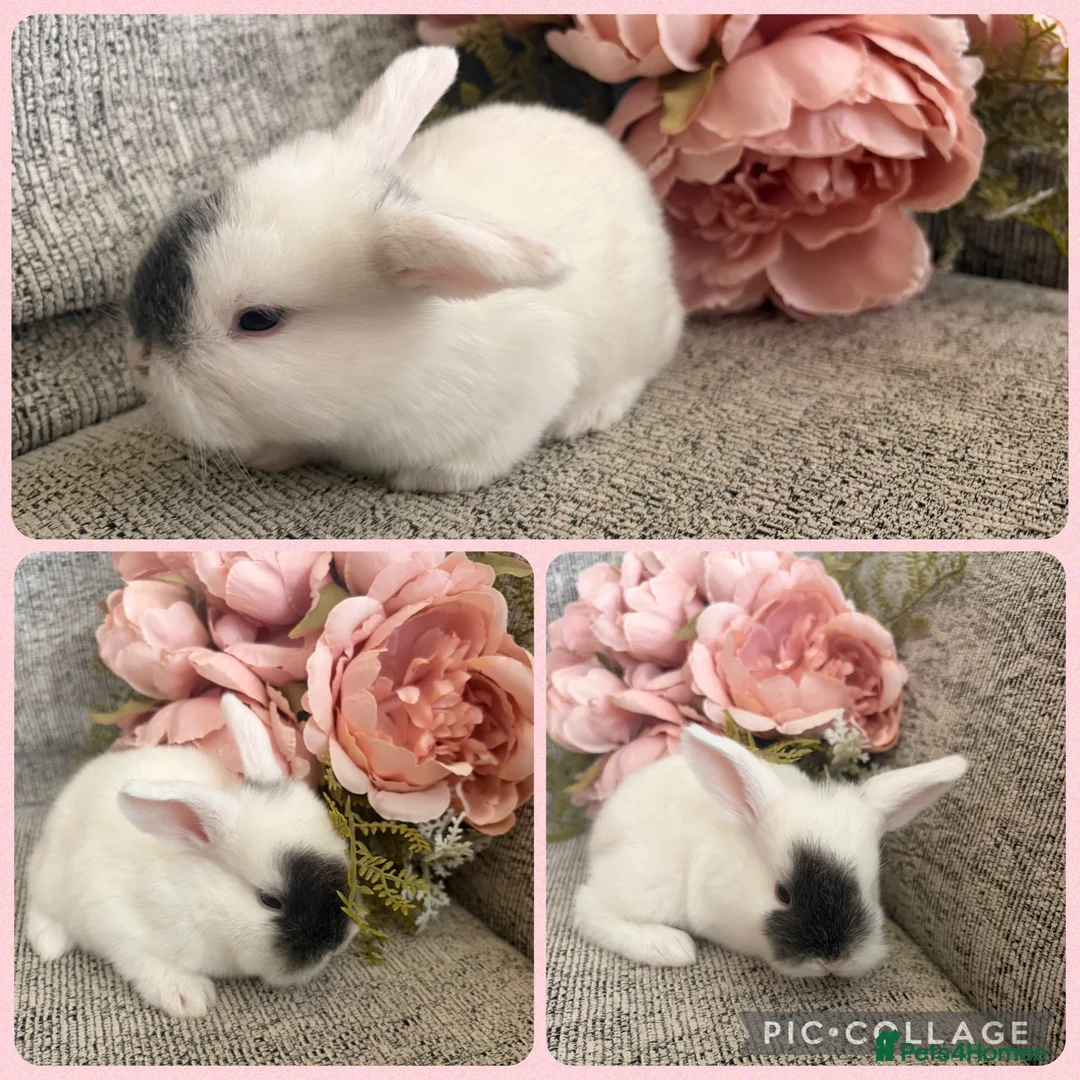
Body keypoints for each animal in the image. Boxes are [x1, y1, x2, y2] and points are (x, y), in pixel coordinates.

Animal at [25, 693, 356, 1018]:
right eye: (270, 901)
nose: (336, 943)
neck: (202, 897)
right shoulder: (113, 919)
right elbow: (141, 959)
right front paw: (187, 997)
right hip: (51, 878)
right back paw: (49, 942)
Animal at [124, 45, 685, 493]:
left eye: (259, 320)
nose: (141, 364)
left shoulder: (530, 390)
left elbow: (480, 458)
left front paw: (421, 479)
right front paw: (271, 455)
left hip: (637, 330)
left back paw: (590, 412)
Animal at [574, 723, 968, 978]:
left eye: (871, 889)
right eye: (782, 894)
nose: (834, 961)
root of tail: (603, 829)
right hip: (649, 879)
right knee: (589, 907)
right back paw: (670, 947)